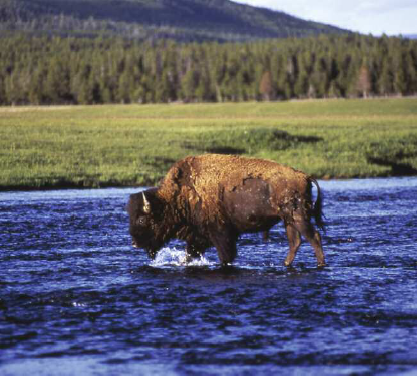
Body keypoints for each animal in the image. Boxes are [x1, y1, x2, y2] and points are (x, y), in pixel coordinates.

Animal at [127, 153, 324, 268]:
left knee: (313, 237)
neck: (179, 196)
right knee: (295, 242)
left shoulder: (221, 234)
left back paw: (321, 265)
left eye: (142, 219)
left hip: (298, 217)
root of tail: (304, 175)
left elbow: (225, 256)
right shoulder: (198, 237)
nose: (134, 243)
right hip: (288, 220)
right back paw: (286, 264)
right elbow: (189, 255)